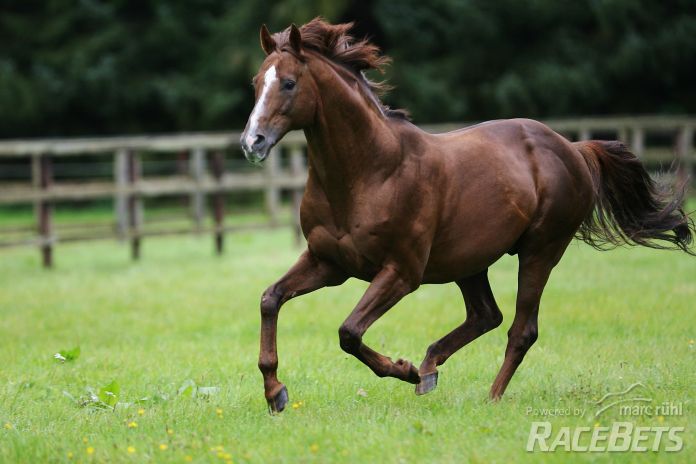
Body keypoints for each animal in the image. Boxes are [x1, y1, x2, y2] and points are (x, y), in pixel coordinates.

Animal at [239, 18, 694, 413]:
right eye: (257, 83)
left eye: (289, 83)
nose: (251, 143)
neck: (370, 171)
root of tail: (573, 148)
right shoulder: (328, 263)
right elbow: (270, 299)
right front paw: (275, 392)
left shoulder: (401, 272)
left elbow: (348, 332)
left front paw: (402, 369)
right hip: (468, 261)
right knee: (486, 315)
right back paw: (430, 369)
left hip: (540, 251)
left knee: (520, 329)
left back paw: (486, 395)